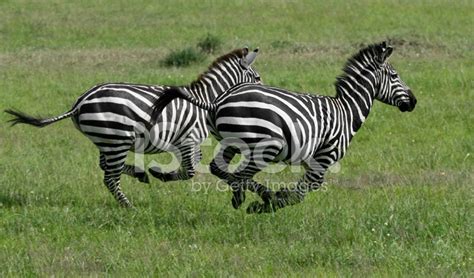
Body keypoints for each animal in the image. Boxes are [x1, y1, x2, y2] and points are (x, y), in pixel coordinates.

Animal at [4, 46, 262, 206]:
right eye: (257, 78)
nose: (261, 95)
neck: (204, 99)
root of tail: (80, 102)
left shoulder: (190, 142)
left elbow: (196, 167)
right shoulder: (188, 139)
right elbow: (189, 171)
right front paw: (162, 175)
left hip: (105, 139)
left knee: (105, 167)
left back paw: (139, 175)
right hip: (117, 139)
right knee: (109, 177)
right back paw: (128, 206)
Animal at [151, 41, 414, 213]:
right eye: (395, 75)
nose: (414, 102)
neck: (346, 111)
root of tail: (217, 101)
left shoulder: (310, 157)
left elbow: (306, 187)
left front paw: (274, 199)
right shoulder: (324, 157)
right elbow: (305, 190)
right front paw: (273, 203)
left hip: (231, 142)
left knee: (220, 168)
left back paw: (247, 196)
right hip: (265, 146)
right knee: (241, 175)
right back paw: (257, 197)